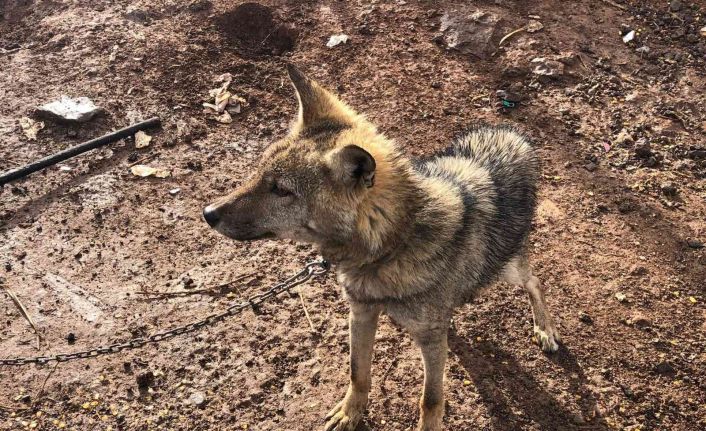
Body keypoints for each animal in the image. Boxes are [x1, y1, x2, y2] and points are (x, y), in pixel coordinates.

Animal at [203, 65, 561, 431]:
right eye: (260, 174)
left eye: (281, 190)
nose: (208, 213)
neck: (392, 246)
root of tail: (510, 136)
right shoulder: (361, 313)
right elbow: (358, 373)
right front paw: (350, 413)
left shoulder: (429, 341)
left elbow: (431, 399)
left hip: (507, 269)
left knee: (536, 282)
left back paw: (545, 330)